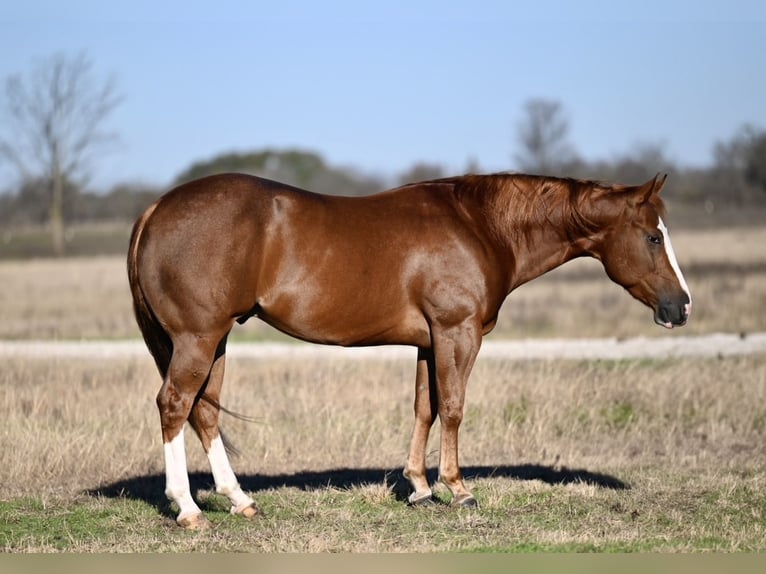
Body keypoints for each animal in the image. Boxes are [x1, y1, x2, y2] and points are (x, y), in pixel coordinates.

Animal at [126, 172, 688, 532]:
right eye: (652, 237)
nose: (681, 306)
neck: (480, 225)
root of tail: (156, 208)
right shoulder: (458, 333)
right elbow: (454, 408)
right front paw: (458, 489)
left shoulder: (428, 342)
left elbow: (425, 408)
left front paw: (419, 486)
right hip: (198, 339)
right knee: (174, 406)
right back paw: (188, 509)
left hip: (215, 341)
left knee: (205, 413)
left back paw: (239, 500)